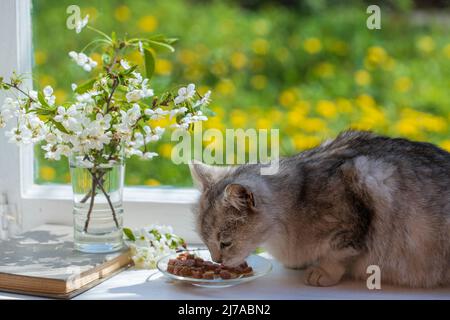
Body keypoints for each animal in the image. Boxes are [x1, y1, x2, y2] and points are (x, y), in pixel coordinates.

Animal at [190, 130, 450, 288]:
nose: (216, 260)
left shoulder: (354, 217)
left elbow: (336, 254)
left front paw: (322, 272)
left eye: (225, 243)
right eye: (205, 241)